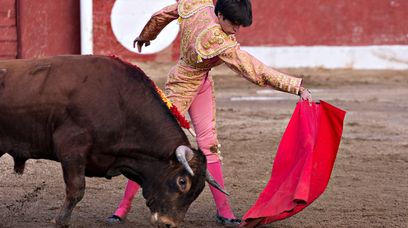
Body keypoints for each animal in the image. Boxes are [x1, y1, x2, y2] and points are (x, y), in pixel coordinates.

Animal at [0, 56, 223, 227]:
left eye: (199, 190)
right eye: (182, 181)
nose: (169, 223)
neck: (121, 104)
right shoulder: (71, 149)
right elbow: (76, 189)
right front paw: (60, 221)